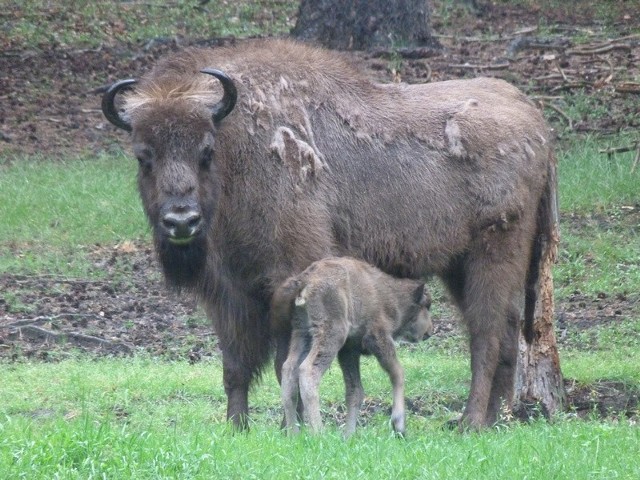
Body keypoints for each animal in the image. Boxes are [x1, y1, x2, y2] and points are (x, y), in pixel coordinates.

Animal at [272, 256, 432, 436]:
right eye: (427, 305)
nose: (430, 331)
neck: (389, 295)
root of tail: (304, 279)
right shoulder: (378, 338)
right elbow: (397, 373)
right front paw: (399, 425)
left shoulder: (349, 351)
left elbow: (355, 391)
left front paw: (348, 435)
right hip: (332, 334)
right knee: (308, 371)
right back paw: (319, 433)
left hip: (302, 334)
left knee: (288, 370)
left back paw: (293, 433)